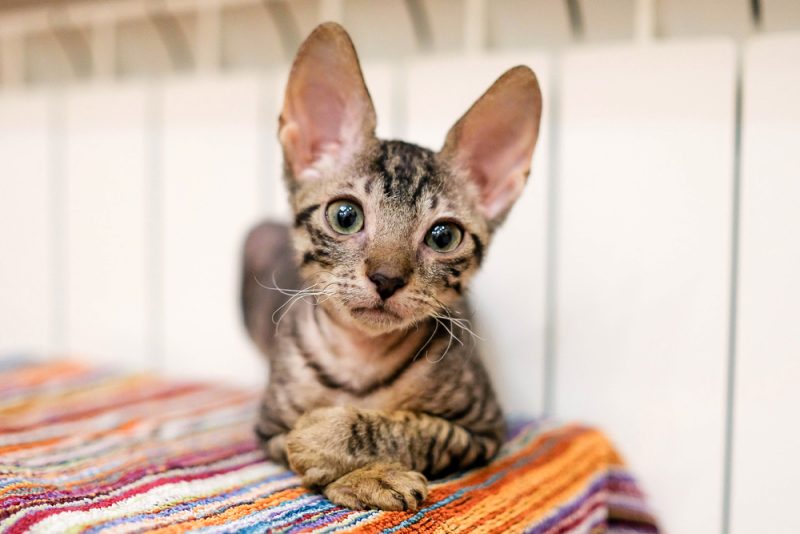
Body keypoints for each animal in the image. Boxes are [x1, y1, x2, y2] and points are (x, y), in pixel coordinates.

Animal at [242, 22, 544, 516]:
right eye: (345, 216)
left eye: (443, 237)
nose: (386, 278)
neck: (362, 357)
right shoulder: (269, 427)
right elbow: (290, 450)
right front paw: (361, 476)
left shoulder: (484, 430)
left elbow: (420, 428)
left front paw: (329, 439)